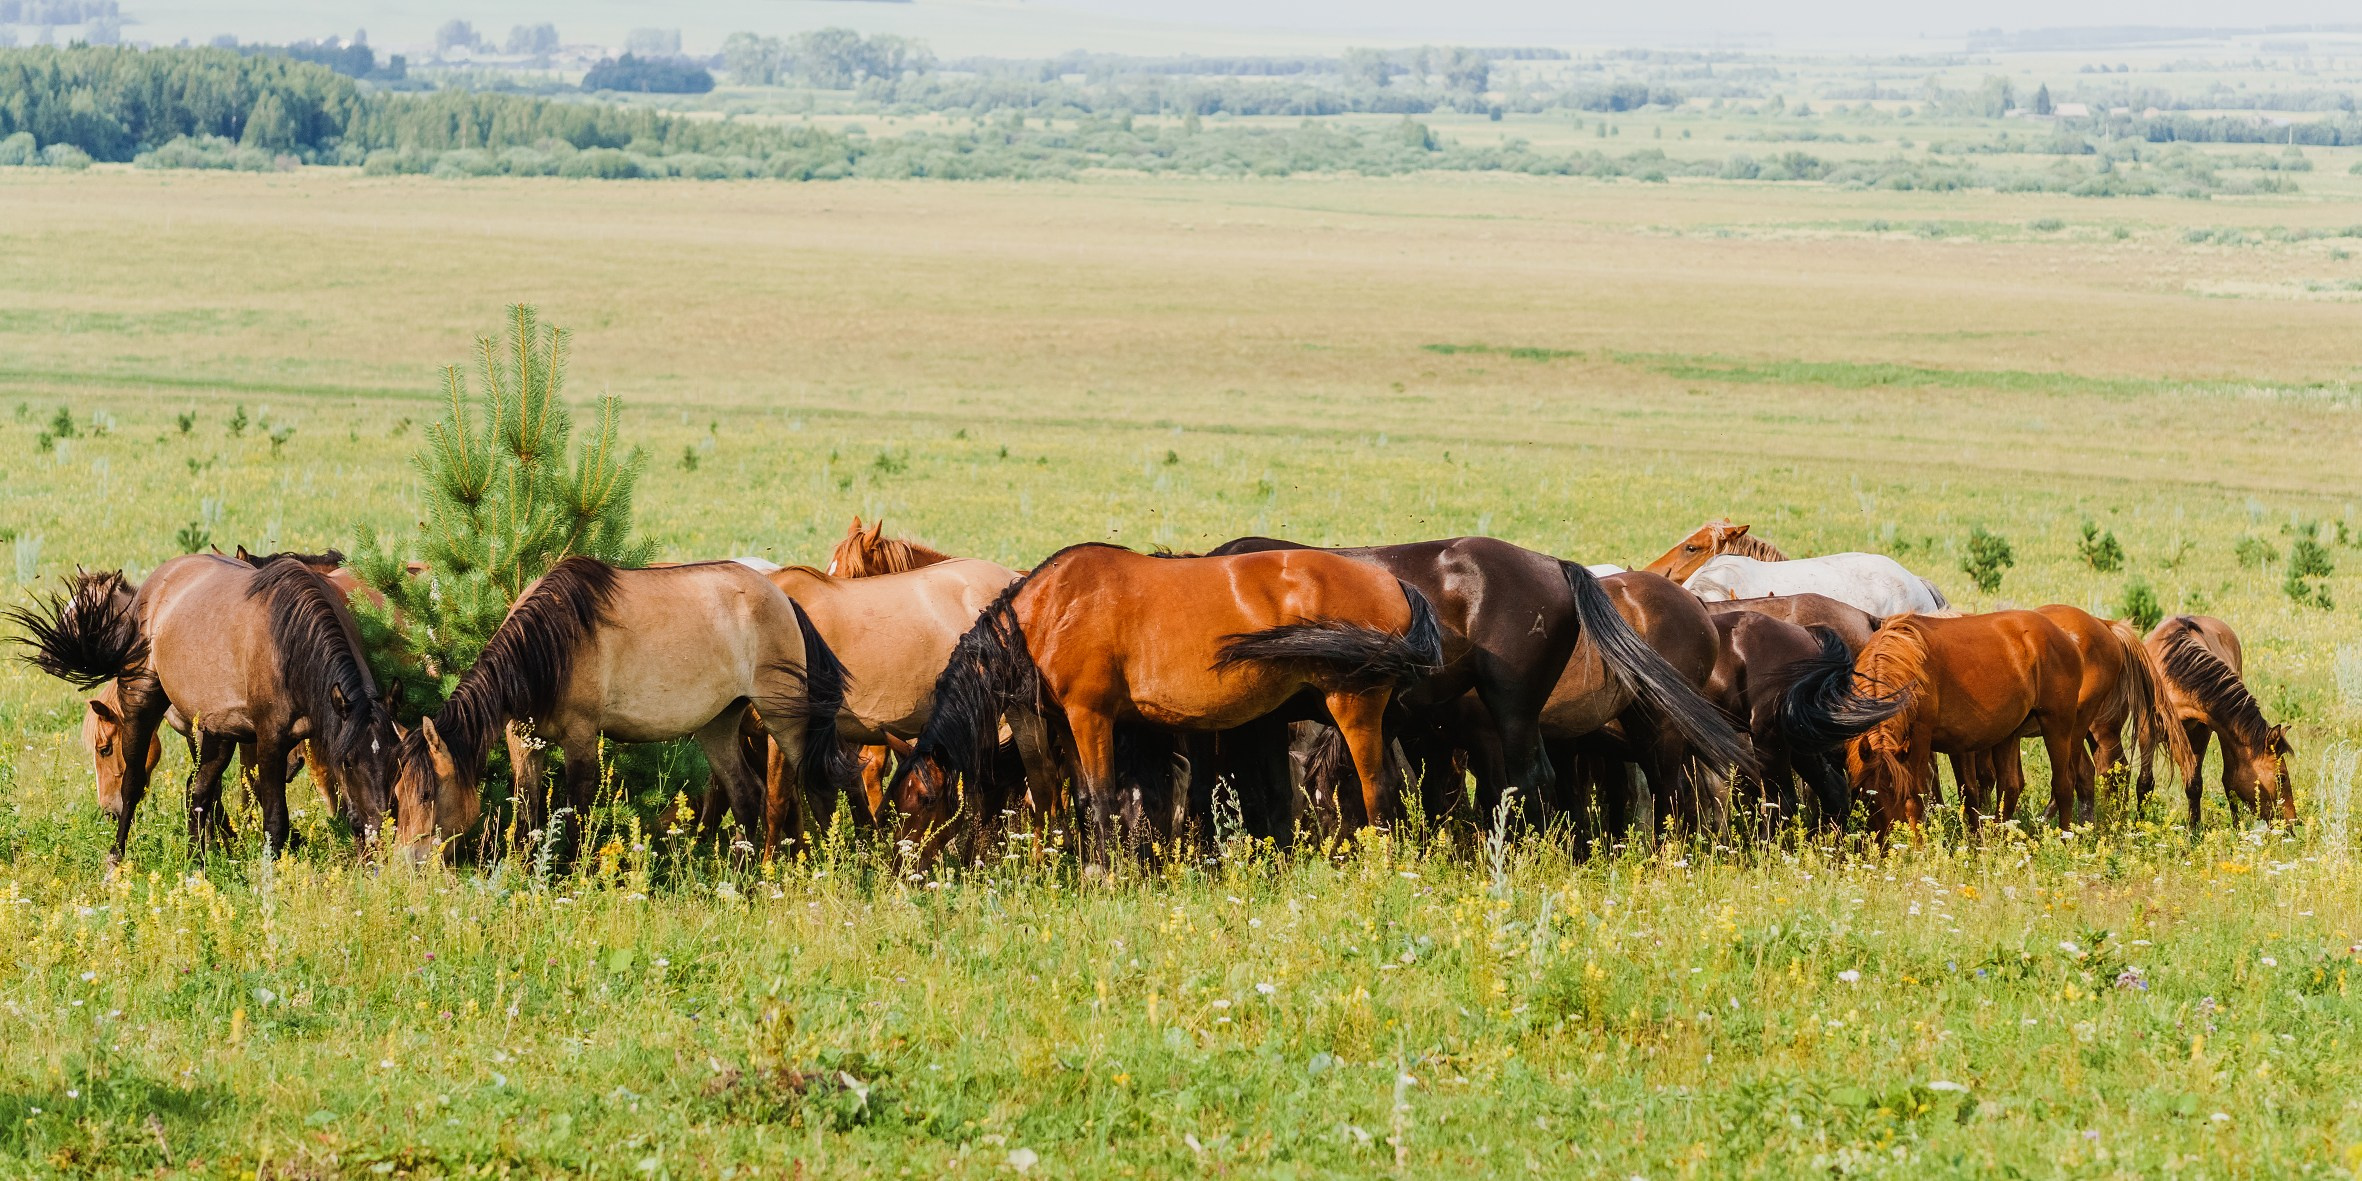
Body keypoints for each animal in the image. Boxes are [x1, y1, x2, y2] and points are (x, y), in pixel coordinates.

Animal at [11, 555, 399, 863]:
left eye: (395, 759)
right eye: (349, 761)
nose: (381, 831)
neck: (289, 640)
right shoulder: (270, 740)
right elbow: (273, 815)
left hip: (218, 732)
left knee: (199, 792)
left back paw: (197, 861)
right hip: (144, 705)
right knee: (135, 785)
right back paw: (117, 860)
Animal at [390, 558, 852, 863]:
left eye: (427, 794)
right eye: (397, 794)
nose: (404, 865)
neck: (551, 646)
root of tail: (783, 597)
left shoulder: (579, 737)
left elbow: (574, 812)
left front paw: (569, 874)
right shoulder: (524, 740)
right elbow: (526, 810)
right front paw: (524, 868)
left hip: (785, 721)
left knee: (815, 788)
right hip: (718, 725)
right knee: (746, 795)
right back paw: (743, 876)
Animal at [888, 543, 1446, 863]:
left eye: (923, 800)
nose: (901, 868)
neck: (1051, 609)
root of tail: (1393, 582)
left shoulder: (1092, 718)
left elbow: (1101, 797)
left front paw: (1110, 873)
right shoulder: (1067, 724)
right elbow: (1081, 798)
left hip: (1354, 706)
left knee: (1376, 790)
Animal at [1844, 611, 2087, 835]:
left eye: (1898, 794)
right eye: (1867, 796)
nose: (1885, 839)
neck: (1905, 660)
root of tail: (2064, 637)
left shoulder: (1921, 736)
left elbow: (1919, 795)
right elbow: (1967, 794)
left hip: (2057, 725)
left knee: (2064, 785)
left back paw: (2065, 837)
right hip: (2009, 733)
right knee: (2010, 787)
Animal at [2142, 616, 2295, 830]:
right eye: (2282, 777)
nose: (2292, 823)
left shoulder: (2200, 733)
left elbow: (2194, 784)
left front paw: (2194, 830)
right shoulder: (2146, 731)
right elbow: (2144, 783)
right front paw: (2137, 825)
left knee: (2229, 780)